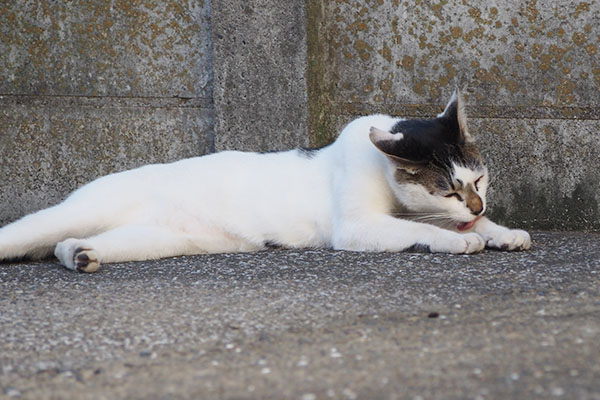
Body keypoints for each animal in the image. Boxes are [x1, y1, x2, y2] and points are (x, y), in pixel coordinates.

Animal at [1, 90, 528, 272]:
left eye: (480, 180)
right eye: (448, 189)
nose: (477, 205)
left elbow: (463, 226)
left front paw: (501, 233)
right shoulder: (357, 226)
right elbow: (423, 228)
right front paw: (460, 240)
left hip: (156, 239)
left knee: (72, 242)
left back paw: (79, 255)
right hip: (80, 210)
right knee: (30, 232)